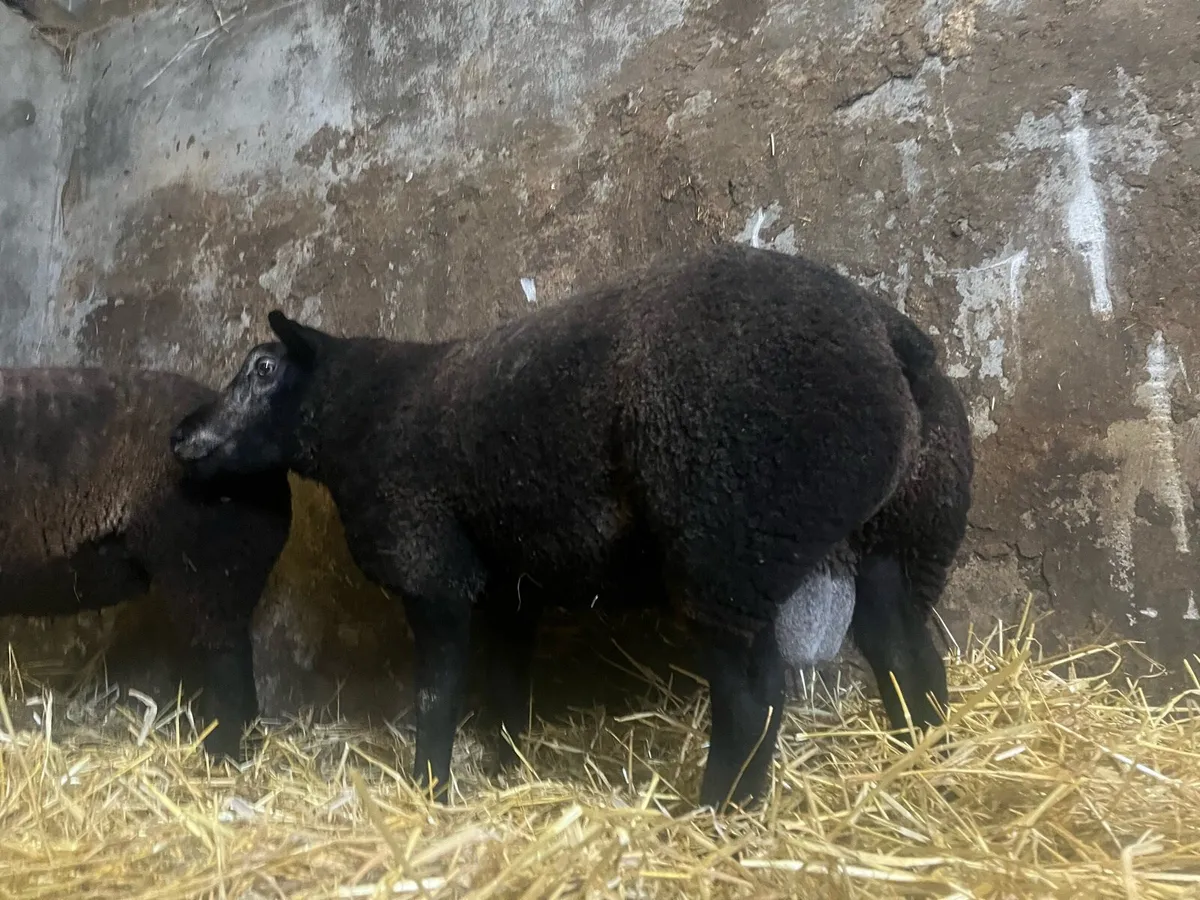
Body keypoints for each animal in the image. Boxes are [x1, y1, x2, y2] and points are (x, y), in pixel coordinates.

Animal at [169, 242, 935, 810]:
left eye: (263, 369)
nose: (181, 435)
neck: (358, 416)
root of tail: (883, 337)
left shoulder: (432, 568)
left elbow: (436, 692)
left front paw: (431, 786)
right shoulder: (509, 584)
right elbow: (509, 685)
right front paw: (505, 770)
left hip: (727, 541)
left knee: (753, 700)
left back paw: (713, 813)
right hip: (887, 541)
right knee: (904, 651)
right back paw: (924, 752)